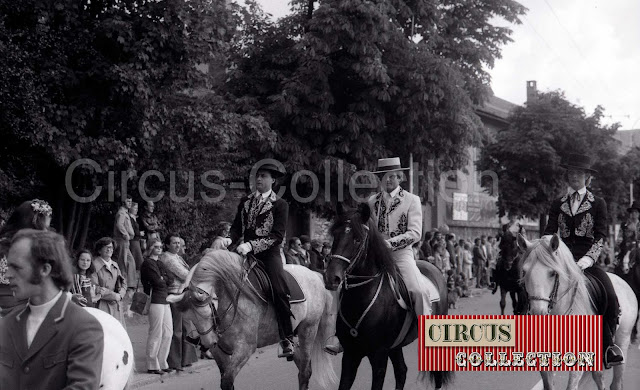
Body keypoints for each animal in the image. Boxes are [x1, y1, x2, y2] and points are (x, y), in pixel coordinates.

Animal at [322, 204, 452, 390]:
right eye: (335, 235)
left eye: (357, 239)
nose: (332, 278)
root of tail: (434, 268)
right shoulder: (351, 355)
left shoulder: (379, 356)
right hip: (395, 346)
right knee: (401, 371)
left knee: (436, 374)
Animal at [516, 235, 636, 390]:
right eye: (524, 272)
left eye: (553, 273)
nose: (538, 312)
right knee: (598, 376)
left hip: (623, 339)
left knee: (615, 382)